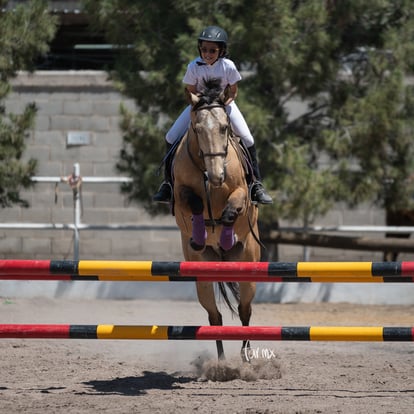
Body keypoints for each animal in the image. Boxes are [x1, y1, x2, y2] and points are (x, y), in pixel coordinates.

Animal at [171, 78, 258, 362]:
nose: (217, 176)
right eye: (197, 129)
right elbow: (195, 203)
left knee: (244, 310)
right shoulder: (180, 194)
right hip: (203, 278)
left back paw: (246, 356)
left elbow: (231, 210)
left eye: (224, 128)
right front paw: (200, 236)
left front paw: (227, 235)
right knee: (215, 317)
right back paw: (220, 362)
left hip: (249, 270)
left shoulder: (241, 191)